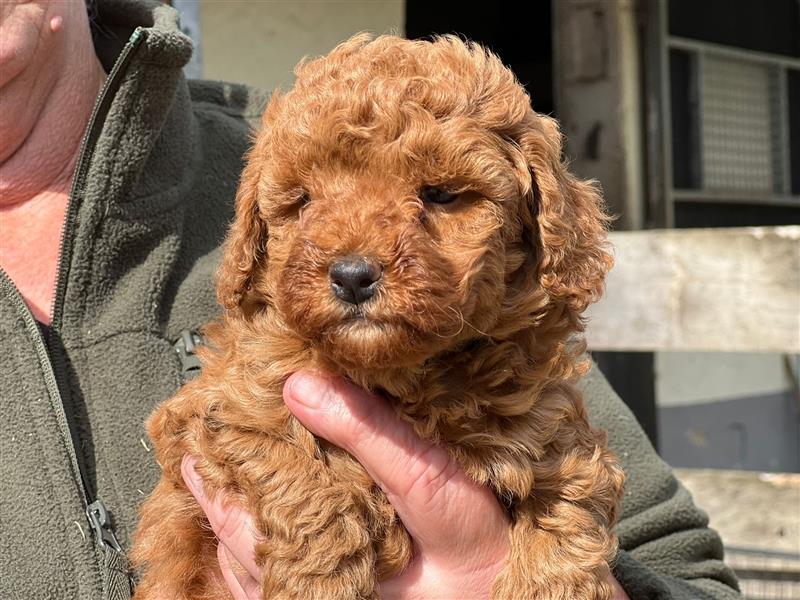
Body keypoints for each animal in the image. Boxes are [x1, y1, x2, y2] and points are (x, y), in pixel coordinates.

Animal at [133, 34, 624, 600]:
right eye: (304, 200)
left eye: (441, 194)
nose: (351, 275)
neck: (402, 377)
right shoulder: (220, 409)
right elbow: (296, 470)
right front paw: (323, 577)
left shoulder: (553, 433)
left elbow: (569, 507)